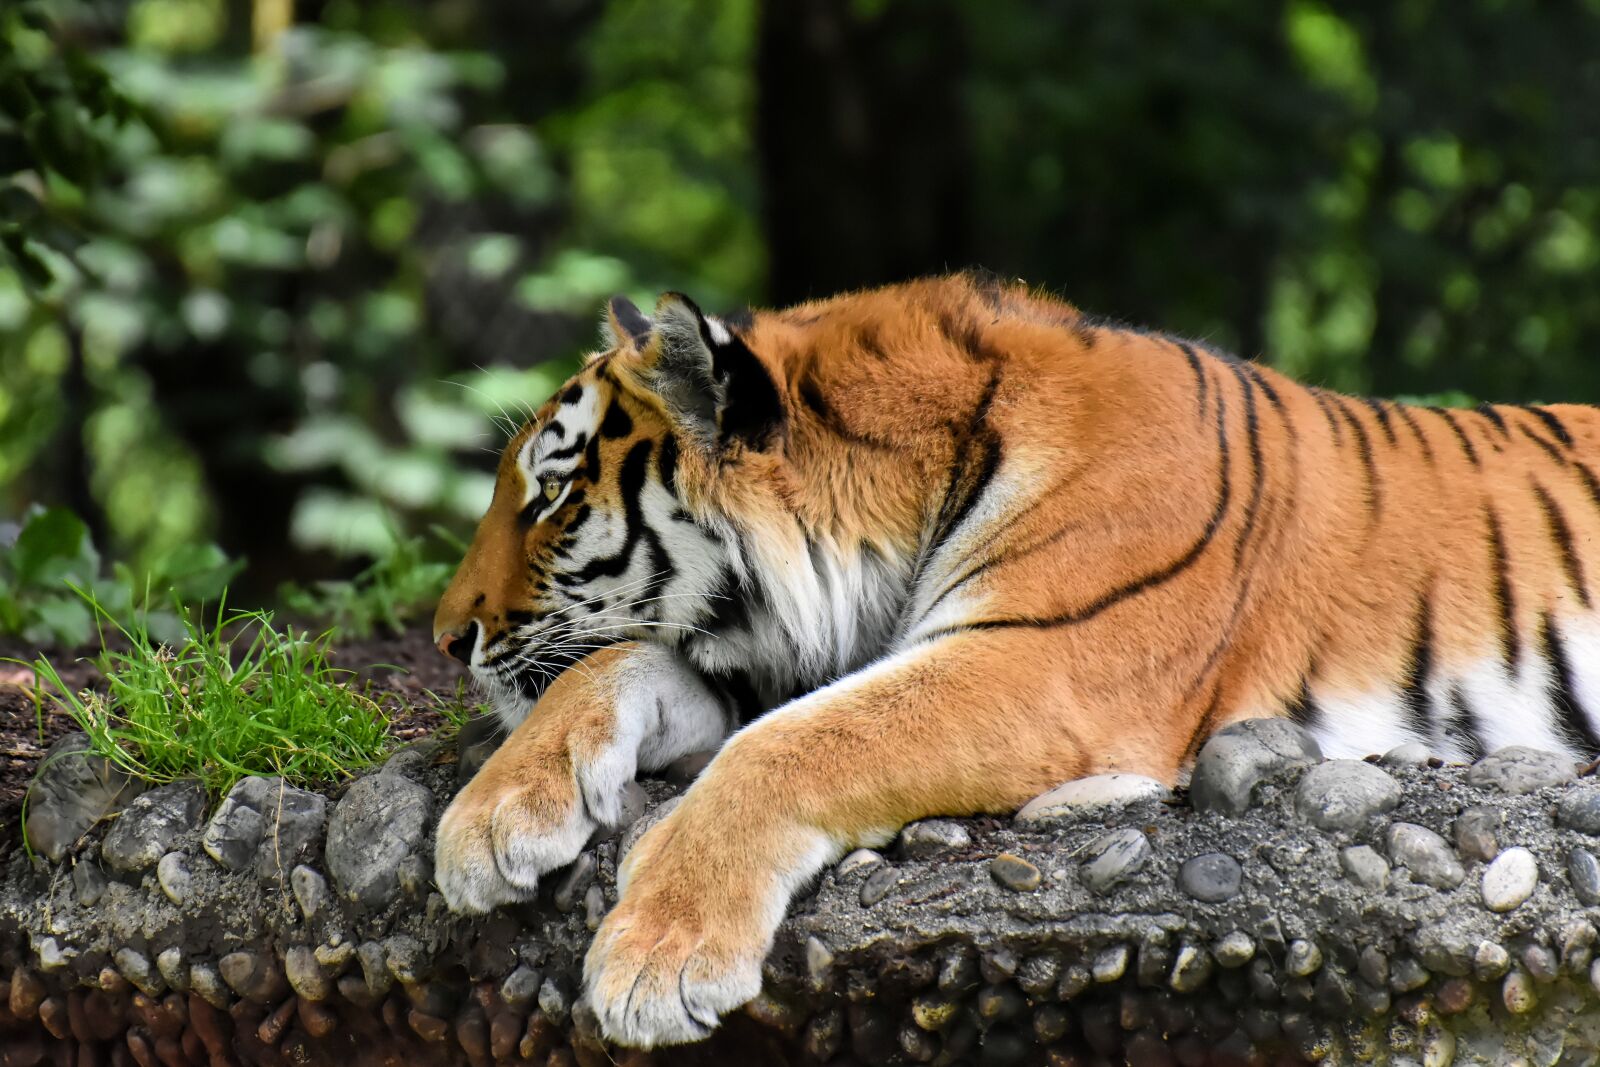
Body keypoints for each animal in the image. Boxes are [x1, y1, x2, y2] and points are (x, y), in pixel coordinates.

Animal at [430, 273, 1600, 1048]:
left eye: (551, 496)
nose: (446, 636)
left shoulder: (1041, 663)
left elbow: (789, 747)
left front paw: (657, 953)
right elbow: (611, 668)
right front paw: (489, 822)